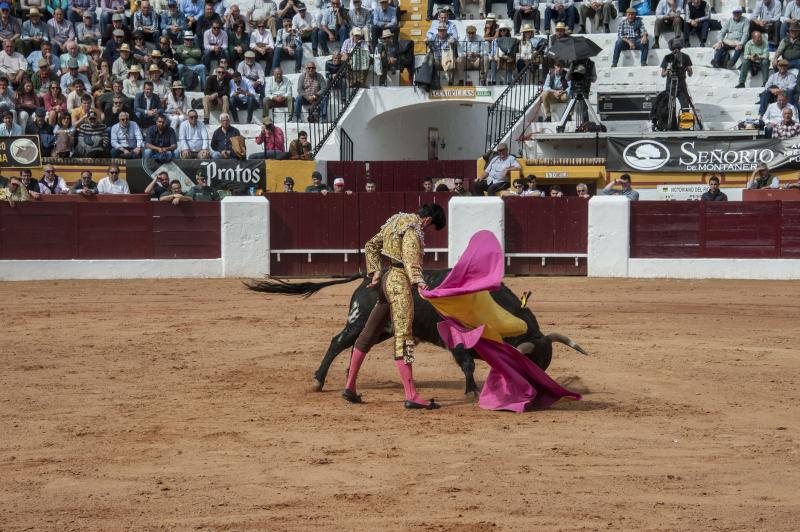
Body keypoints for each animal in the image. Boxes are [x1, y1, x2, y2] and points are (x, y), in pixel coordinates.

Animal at [245, 270, 588, 394]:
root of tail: (369, 277)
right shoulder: (458, 343)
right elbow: (468, 364)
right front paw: (472, 391)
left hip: (380, 328)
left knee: (357, 346)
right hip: (359, 319)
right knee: (338, 342)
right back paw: (319, 380)